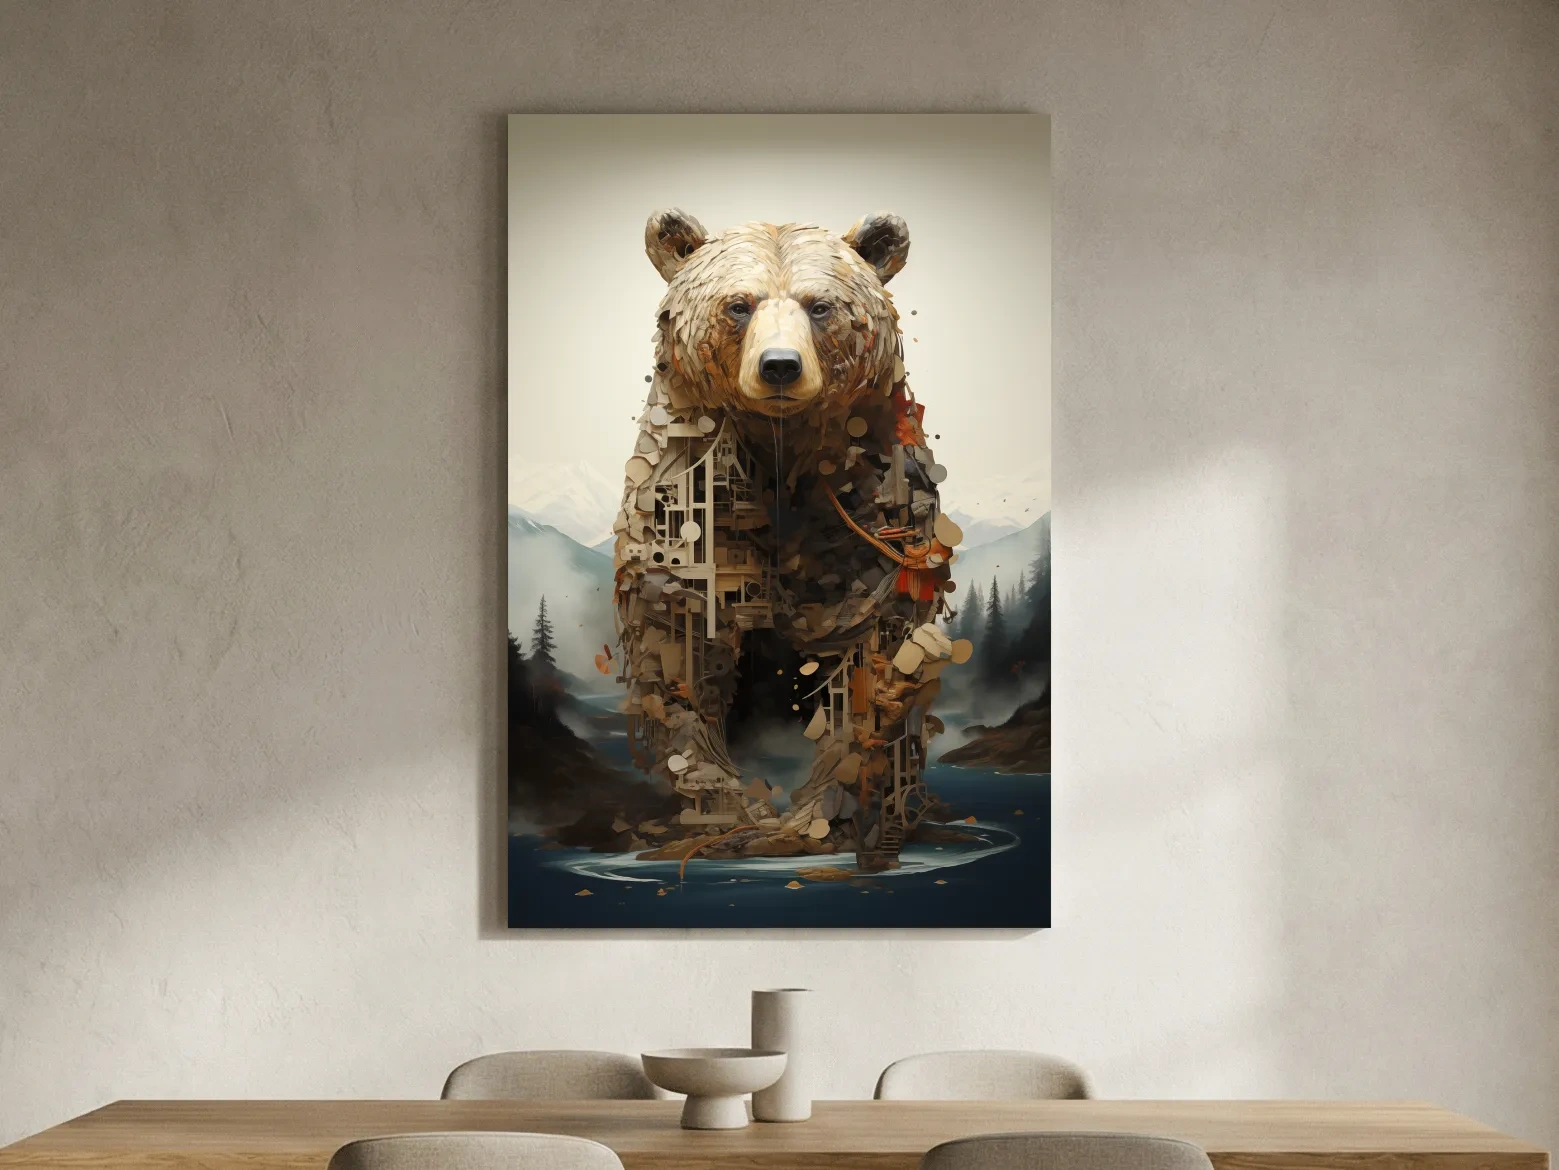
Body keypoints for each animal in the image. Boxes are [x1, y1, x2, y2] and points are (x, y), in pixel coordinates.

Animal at [609, 209, 971, 871]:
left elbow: (864, 664)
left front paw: (819, 817)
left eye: (818, 305)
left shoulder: (868, 519)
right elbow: (681, 659)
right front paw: (732, 816)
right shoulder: (686, 517)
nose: (780, 365)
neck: (780, 452)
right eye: (739, 305)